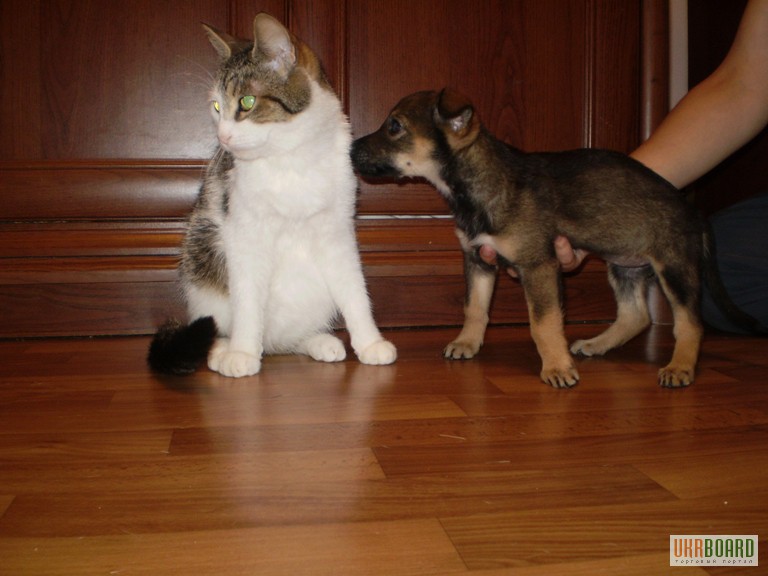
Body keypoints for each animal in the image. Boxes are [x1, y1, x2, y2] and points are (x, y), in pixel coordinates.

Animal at [147, 12, 396, 378]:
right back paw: (225, 350)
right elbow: (248, 299)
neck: (290, 160)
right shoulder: (245, 233)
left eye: (247, 102)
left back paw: (318, 341)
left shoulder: (337, 231)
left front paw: (370, 342)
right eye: (217, 106)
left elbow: (355, 289)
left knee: (288, 340)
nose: (222, 137)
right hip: (201, 267)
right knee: (217, 327)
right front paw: (242, 352)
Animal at [354, 89, 760, 388]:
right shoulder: (478, 260)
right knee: (636, 316)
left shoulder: (538, 266)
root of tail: (692, 209)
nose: (351, 149)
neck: (476, 185)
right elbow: (475, 308)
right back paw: (597, 344)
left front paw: (556, 368)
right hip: (625, 267)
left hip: (674, 268)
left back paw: (680, 367)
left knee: (690, 322)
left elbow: (543, 323)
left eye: (394, 126)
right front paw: (467, 343)